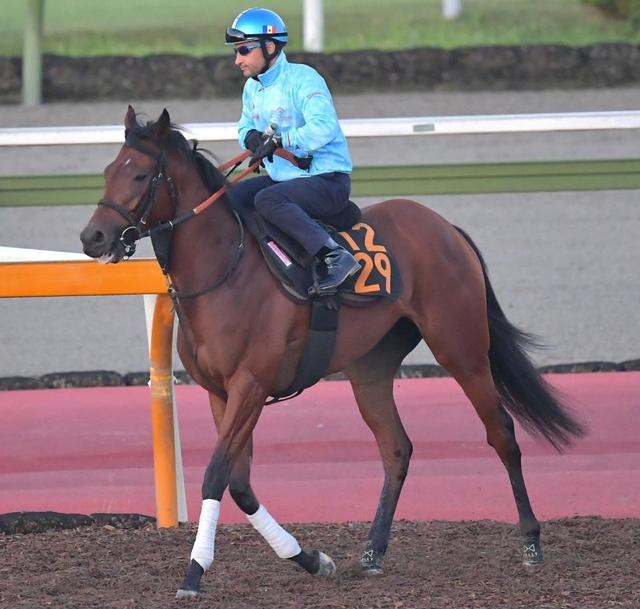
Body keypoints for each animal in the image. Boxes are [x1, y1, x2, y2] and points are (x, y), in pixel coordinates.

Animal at [80, 107, 584, 599]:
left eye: (140, 174)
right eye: (108, 170)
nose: (93, 238)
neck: (224, 269)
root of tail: (444, 227)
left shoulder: (250, 385)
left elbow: (217, 475)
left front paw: (193, 573)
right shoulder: (220, 392)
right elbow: (240, 484)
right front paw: (310, 559)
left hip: (461, 349)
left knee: (501, 433)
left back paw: (531, 543)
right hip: (371, 369)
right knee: (396, 448)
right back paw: (373, 551)